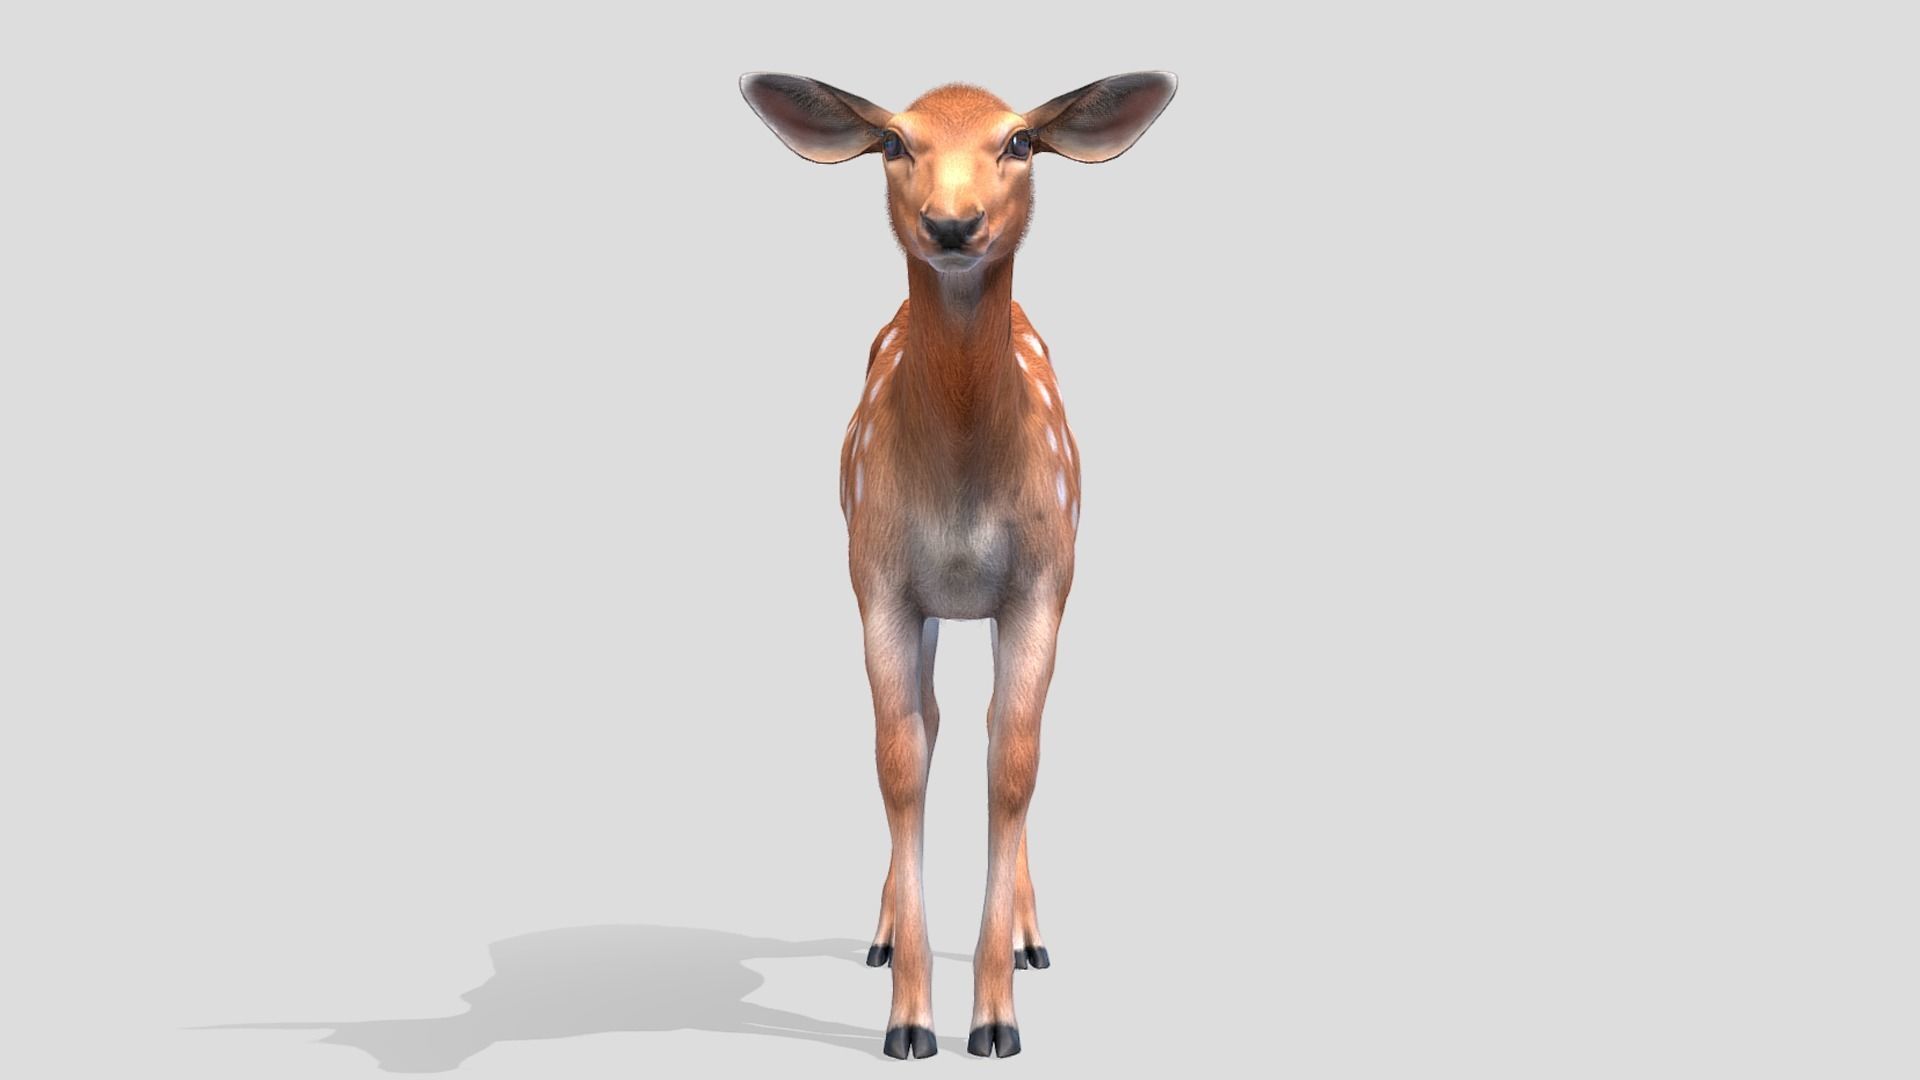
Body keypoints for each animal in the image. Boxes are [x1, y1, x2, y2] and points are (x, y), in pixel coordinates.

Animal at [739, 70, 1177, 1059]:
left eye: (1017, 141)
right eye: (896, 142)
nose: (951, 223)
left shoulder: (1046, 582)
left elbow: (1013, 759)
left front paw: (996, 1019)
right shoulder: (878, 582)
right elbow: (900, 757)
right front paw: (908, 1022)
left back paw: (1029, 937)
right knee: (933, 723)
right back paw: (882, 932)